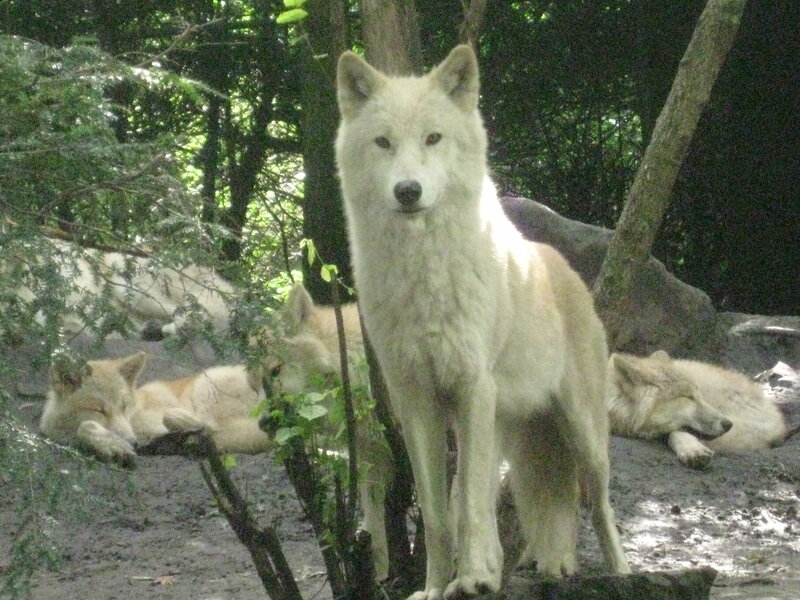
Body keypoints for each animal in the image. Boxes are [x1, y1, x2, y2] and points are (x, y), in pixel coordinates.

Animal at [40, 351, 269, 466]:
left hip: (206, 386)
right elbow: (85, 427)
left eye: (124, 406)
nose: (132, 441)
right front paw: (111, 444)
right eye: (99, 410)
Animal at [335, 45, 629, 599]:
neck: (424, 274)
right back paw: (514, 570)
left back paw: (621, 573)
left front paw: (470, 578)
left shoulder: (471, 386)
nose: (408, 191)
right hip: (503, 432)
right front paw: (435, 587)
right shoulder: (417, 403)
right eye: (383, 142)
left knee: (598, 507)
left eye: (433, 138)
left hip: (582, 436)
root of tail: (563, 269)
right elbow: (437, 514)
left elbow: (467, 504)